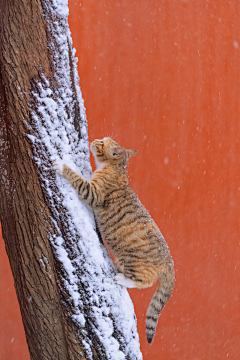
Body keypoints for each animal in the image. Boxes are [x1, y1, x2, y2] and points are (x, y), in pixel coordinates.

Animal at [53, 137, 175, 344]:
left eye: (103, 142)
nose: (96, 139)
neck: (117, 168)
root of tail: (169, 263)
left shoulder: (93, 192)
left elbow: (77, 178)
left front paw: (61, 165)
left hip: (134, 263)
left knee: (144, 282)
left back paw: (122, 279)